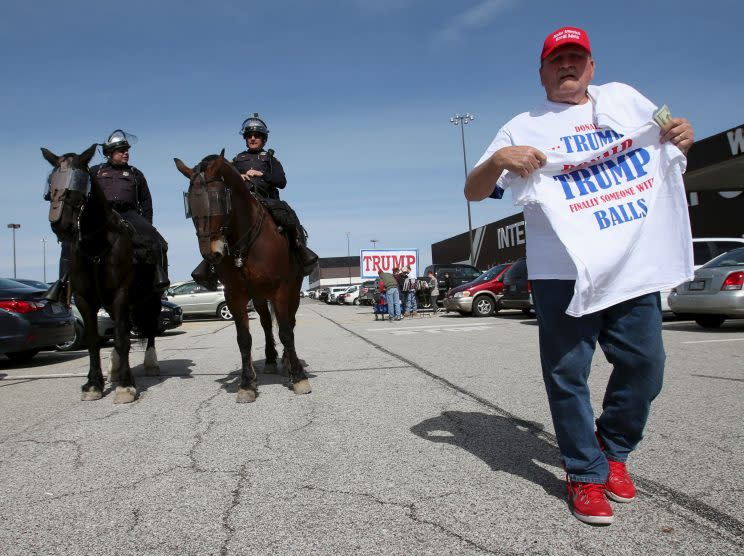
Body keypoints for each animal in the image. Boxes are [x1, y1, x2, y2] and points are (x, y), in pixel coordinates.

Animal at [42, 144, 162, 404]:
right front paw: (93, 384)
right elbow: (94, 341)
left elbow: (122, 337)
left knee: (148, 328)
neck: (96, 247)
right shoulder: (85, 299)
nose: (60, 223)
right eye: (51, 181)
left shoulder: (121, 293)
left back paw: (150, 363)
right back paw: (114, 368)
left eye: (80, 180)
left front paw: (126, 386)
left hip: (151, 298)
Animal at [174, 149, 310, 400]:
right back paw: (270, 359)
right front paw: (247, 384)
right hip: (259, 297)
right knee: (266, 324)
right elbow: (244, 339)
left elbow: (286, 332)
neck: (246, 245)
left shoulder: (280, 290)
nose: (211, 254)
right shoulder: (234, 295)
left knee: (290, 322)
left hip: (293, 290)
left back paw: (287, 360)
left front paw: (298, 376)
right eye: (190, 206)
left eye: (219, 199)